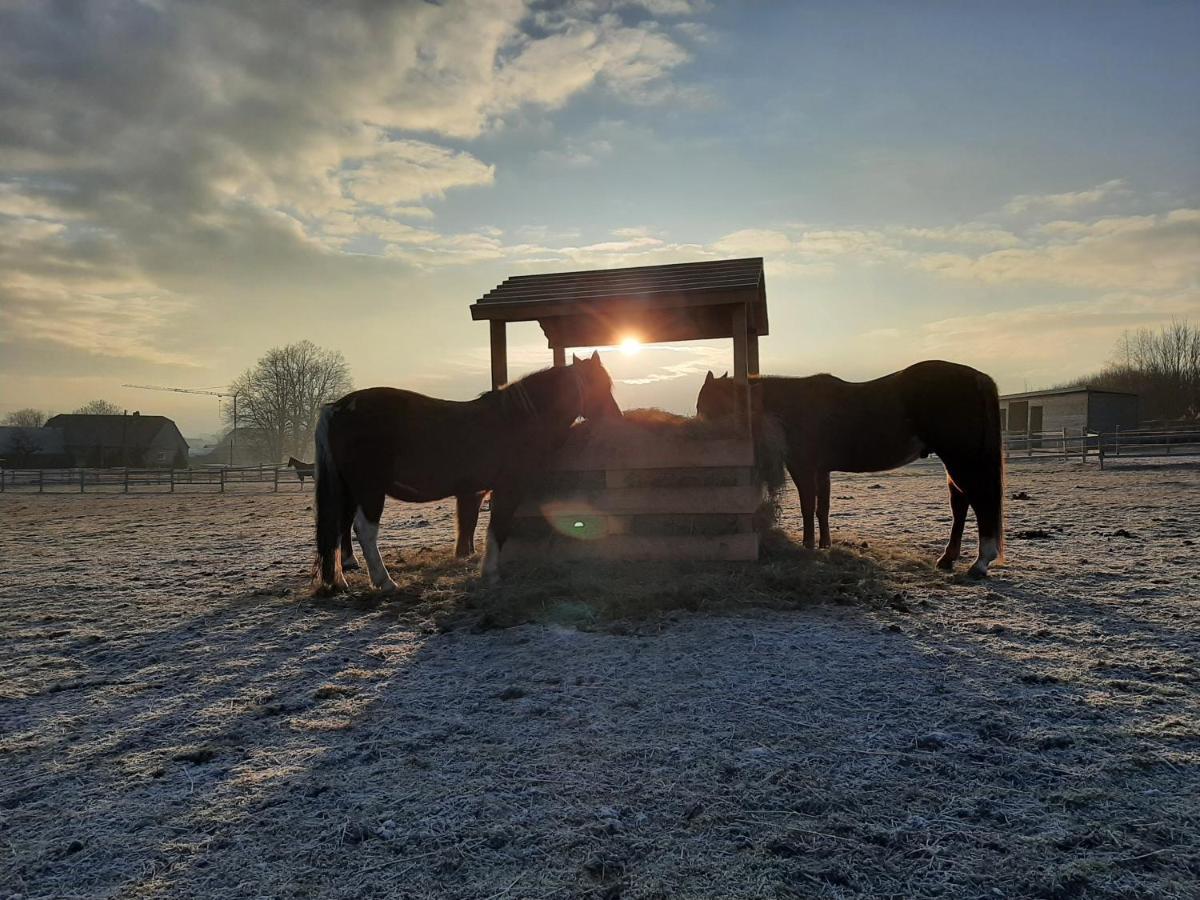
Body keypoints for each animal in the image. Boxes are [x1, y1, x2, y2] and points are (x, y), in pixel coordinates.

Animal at [314, 355, 624, 595]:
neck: (517, 420)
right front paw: (491, 573)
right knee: (364, 530)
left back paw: (339, 581)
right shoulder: (507, 488)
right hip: (370, 490)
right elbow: (497, 527)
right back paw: (384, 582)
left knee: (338, 530)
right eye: (599, 385)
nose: (616, 420)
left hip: (348, 491)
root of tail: (337, 407)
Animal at [696, 360, 1003, 578]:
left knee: (980, 501)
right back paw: (948, 559)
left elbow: (808, 507)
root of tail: (977, 378)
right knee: (961, 503)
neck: (794, 405)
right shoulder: (821, 471)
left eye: (705, 402)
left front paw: (808, 547)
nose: (699, 431)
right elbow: (822, 509)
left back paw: (979, 563)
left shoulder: (803, 468)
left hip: (961, 460)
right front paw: (824, 545)